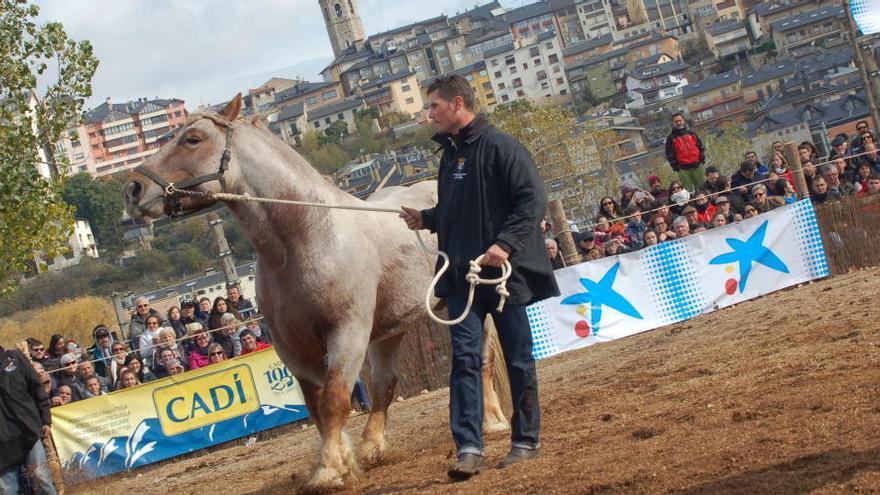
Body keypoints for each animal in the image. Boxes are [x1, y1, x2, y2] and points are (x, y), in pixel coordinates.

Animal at [124, 94, 508, 492]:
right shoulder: (292, 347)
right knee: (385, 384)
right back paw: (373, 448)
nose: (133, 188)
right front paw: (341, 460)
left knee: (480, 360)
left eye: (193, 139)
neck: (304, 239)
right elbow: (316, 406)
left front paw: (329, 470)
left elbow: (335, 401)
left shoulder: (347, 334)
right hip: (390, 329)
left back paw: (493, 422)